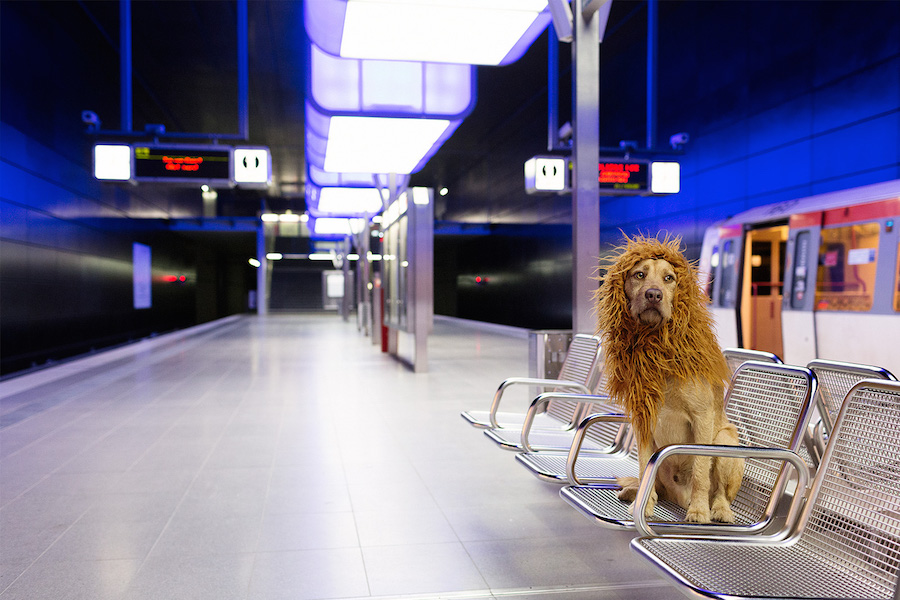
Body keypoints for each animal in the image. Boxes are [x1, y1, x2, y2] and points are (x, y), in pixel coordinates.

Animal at [596, 232, 744, 524]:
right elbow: (644, 466)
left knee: (721, 491)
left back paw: (719, 509)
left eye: (669, 278)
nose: (654, 295)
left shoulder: (702, 417)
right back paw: (636, 492)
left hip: (726, 440)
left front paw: (699, 510)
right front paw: (643, 506)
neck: (656, 347)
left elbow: (700, 470)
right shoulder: (643, 418)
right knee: (655, 483)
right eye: (639, 274)